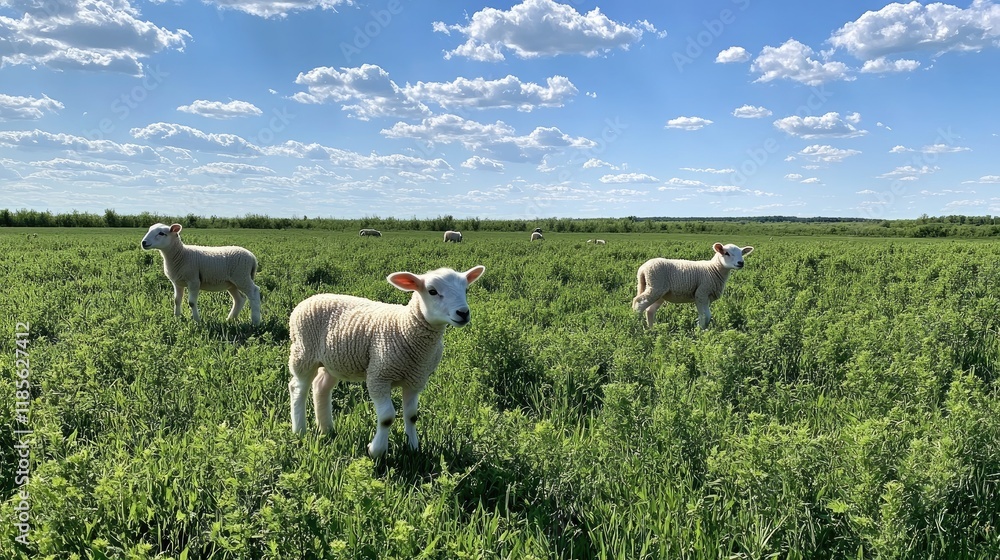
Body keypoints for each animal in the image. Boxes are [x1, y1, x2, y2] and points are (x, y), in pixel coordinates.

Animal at [287, 265, 486, 457]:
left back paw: (326, 429)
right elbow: (387, 417)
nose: (463, 313)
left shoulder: (416, 379)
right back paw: (300, 431)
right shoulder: (379, 375)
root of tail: (312, 298)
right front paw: (376, 451)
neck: (404, 327)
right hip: (303, 353)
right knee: (297, 388)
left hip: (333, 362)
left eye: (466, 289)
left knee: (321, 387)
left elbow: (412, 415)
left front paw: (413, 448)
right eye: (432, 291)